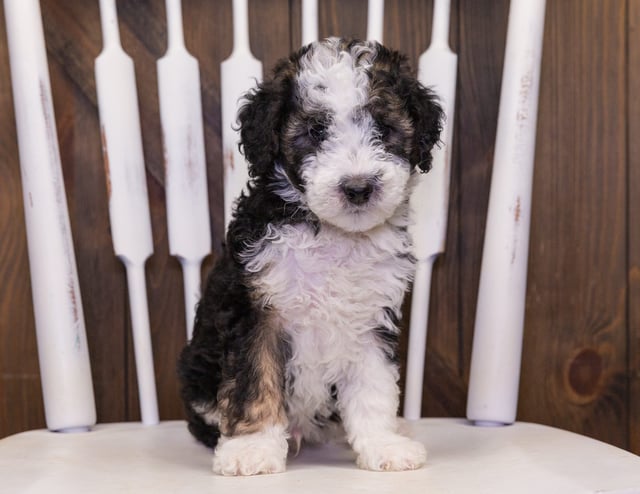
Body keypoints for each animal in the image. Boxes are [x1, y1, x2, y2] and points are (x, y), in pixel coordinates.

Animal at [178, 36, 442, 476]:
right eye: (316, 131)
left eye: (384, 129)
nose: (358, 188)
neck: (336, 235)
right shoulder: (255, 313)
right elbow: (253, 381)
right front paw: (252, 449)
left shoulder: (371, 318)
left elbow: (374, 387)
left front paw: (383, 444)